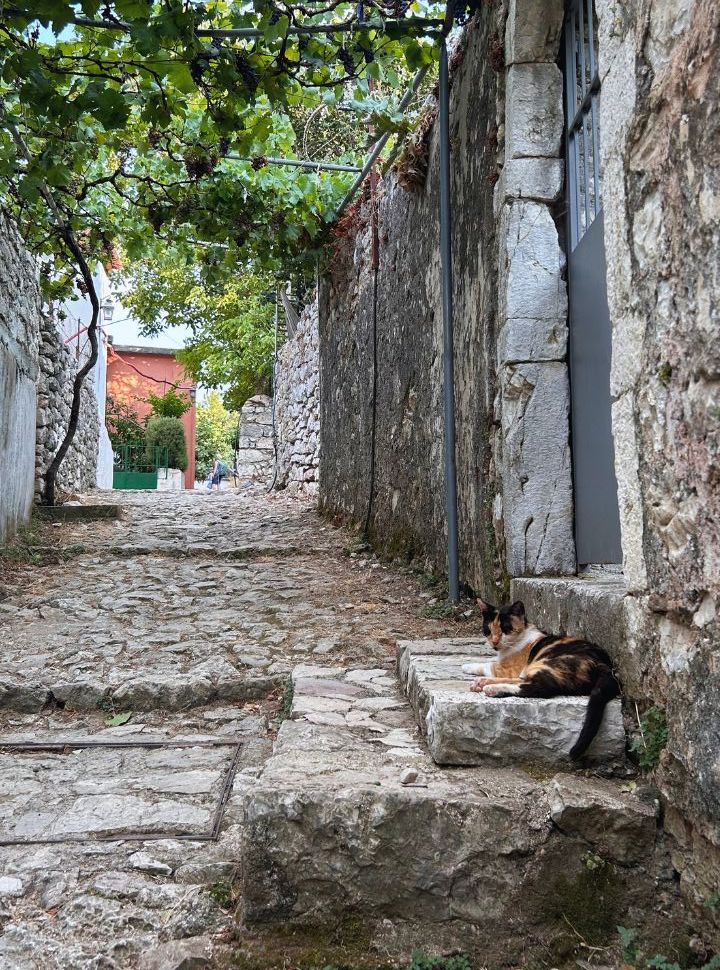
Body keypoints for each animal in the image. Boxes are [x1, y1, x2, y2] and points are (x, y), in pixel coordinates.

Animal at [464, 596, 620, 756]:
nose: (494, 642)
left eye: (505, 629)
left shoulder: (510, 669)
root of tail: (604, 664)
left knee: (537, 687)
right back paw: (482, 683)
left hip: (545, 663)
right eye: (488, 630)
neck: (519, 638)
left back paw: (491, 688)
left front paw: (468, 666)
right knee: (524, 681)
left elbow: (489, 664)